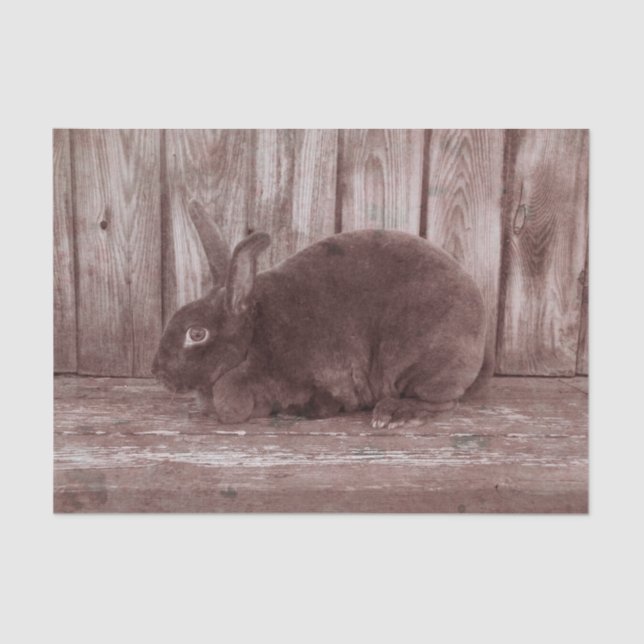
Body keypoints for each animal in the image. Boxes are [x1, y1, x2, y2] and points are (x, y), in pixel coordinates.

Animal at [152, 200, 492, 429]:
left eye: (196, 333)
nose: (157, 371)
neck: (251, 340)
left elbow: (320, 403)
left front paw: (293, 412)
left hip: (423, 363)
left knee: (444, 402)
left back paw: (393, 414)